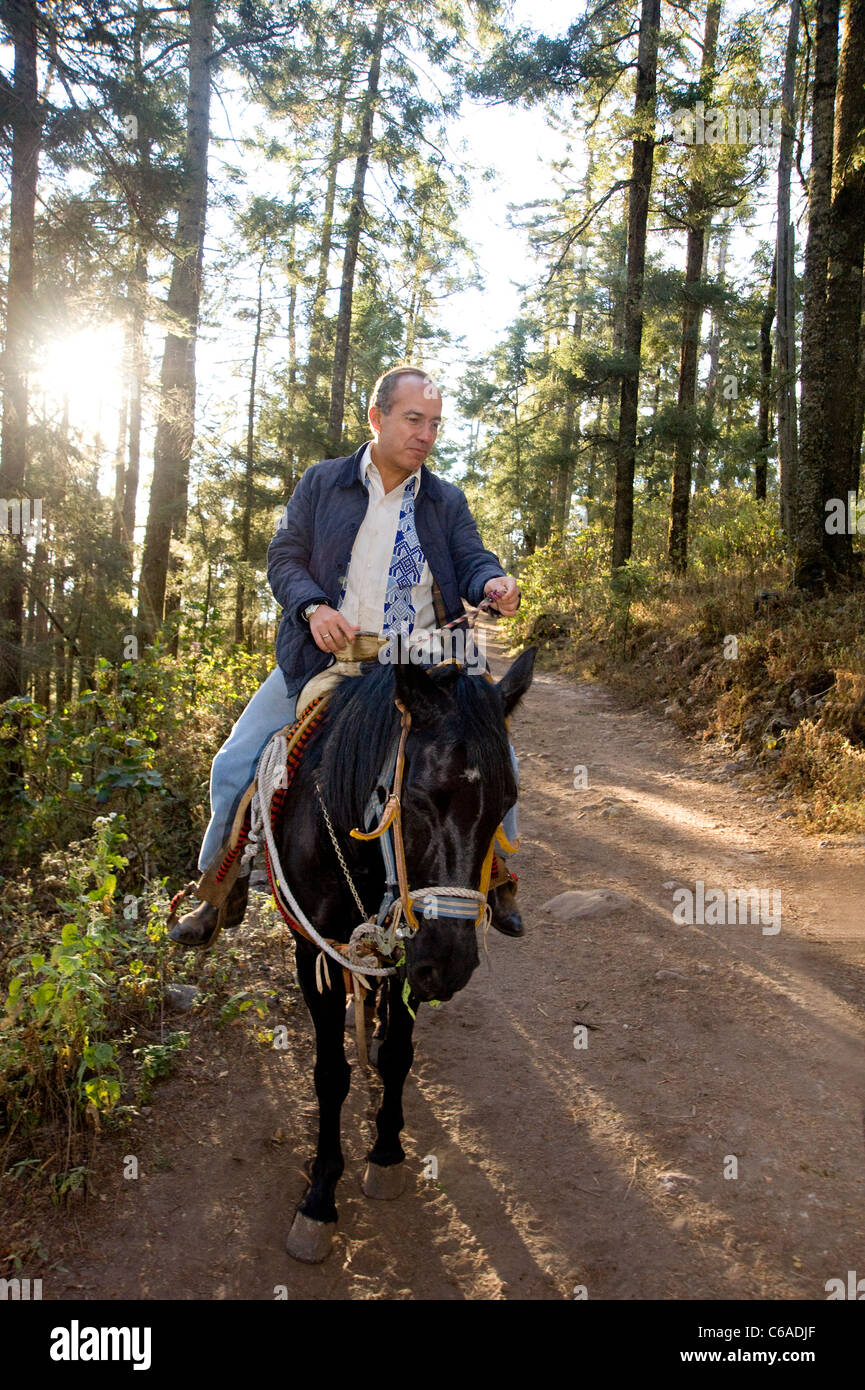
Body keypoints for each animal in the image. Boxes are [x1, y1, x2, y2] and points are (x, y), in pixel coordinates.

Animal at [278, 644, 536, 1267]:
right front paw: (319, 1198)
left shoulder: (405, 953)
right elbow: (330, 1075)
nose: (450, 965)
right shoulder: (315, 954)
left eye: (508, 803)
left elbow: (398, 1054)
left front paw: (387, 1153)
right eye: (418, 798)